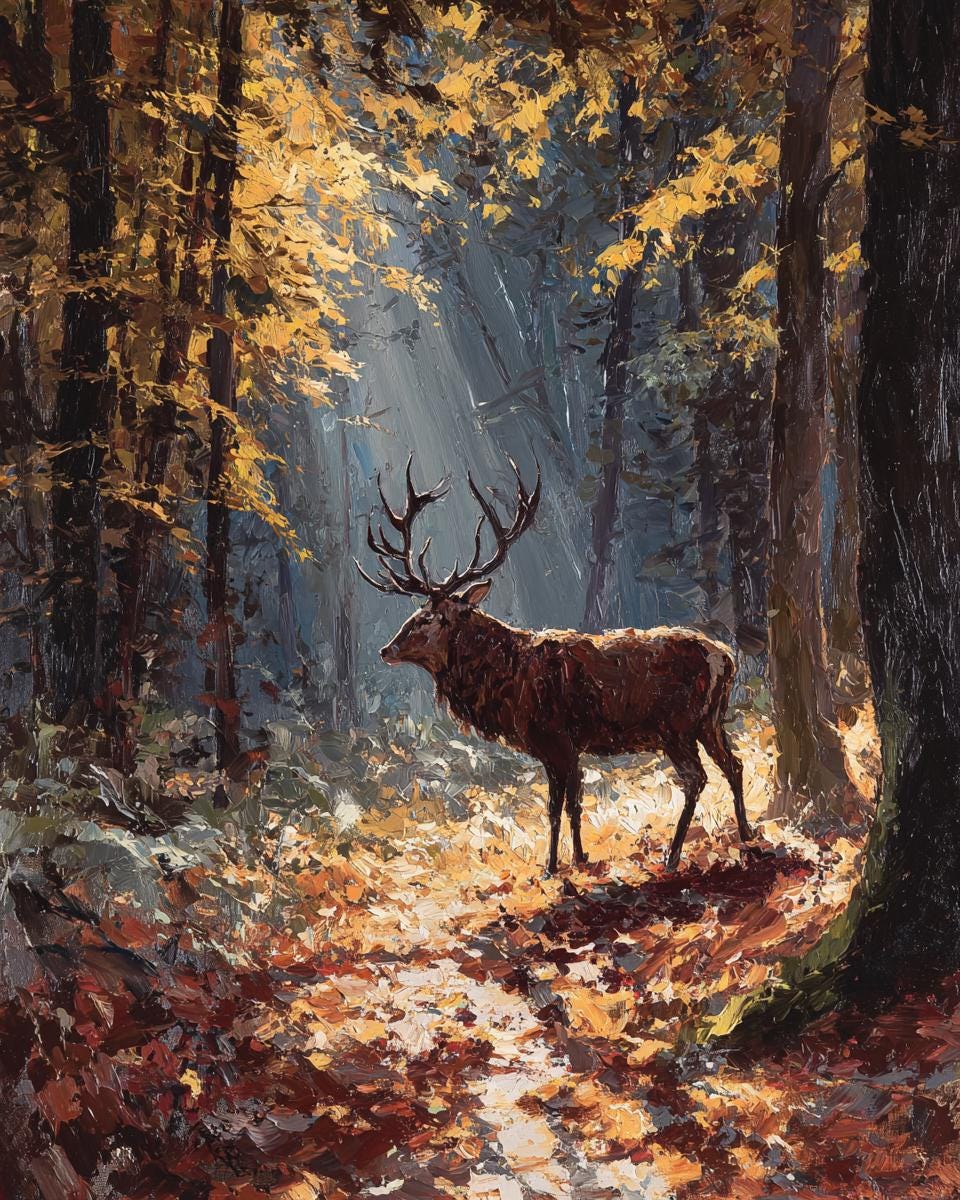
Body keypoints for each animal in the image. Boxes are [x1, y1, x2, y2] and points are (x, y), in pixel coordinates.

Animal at [357, 457, 753, 875]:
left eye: (429, 618)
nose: (386, 649)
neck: (508, 683)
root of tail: (725, 659)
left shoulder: (555, 738)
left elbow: (555, 807)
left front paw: (553, 866)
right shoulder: (564, 747)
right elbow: (571, 804)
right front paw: (578, 858)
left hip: (675, 725)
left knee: (696, 778)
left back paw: (673, 854)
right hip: (710, 721)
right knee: (734, 765)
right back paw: (747, 833)